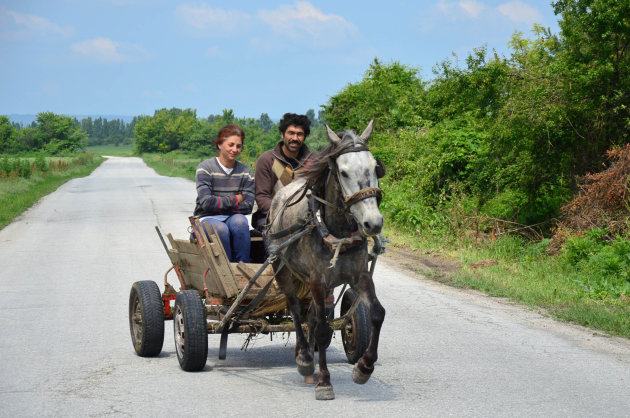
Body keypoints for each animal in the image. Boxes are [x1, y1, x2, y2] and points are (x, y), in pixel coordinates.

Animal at [266, 119, 388, 400]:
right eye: (343, 172)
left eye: (375, 166)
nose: (373, 223)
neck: (338, 232)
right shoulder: (317, 281)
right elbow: (322, 330)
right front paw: (324, 381)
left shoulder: (359, 276)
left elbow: (377, 313)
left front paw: (364, 367)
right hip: (284, 271)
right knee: (296, 310)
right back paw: (304, 358)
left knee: (311, 316)